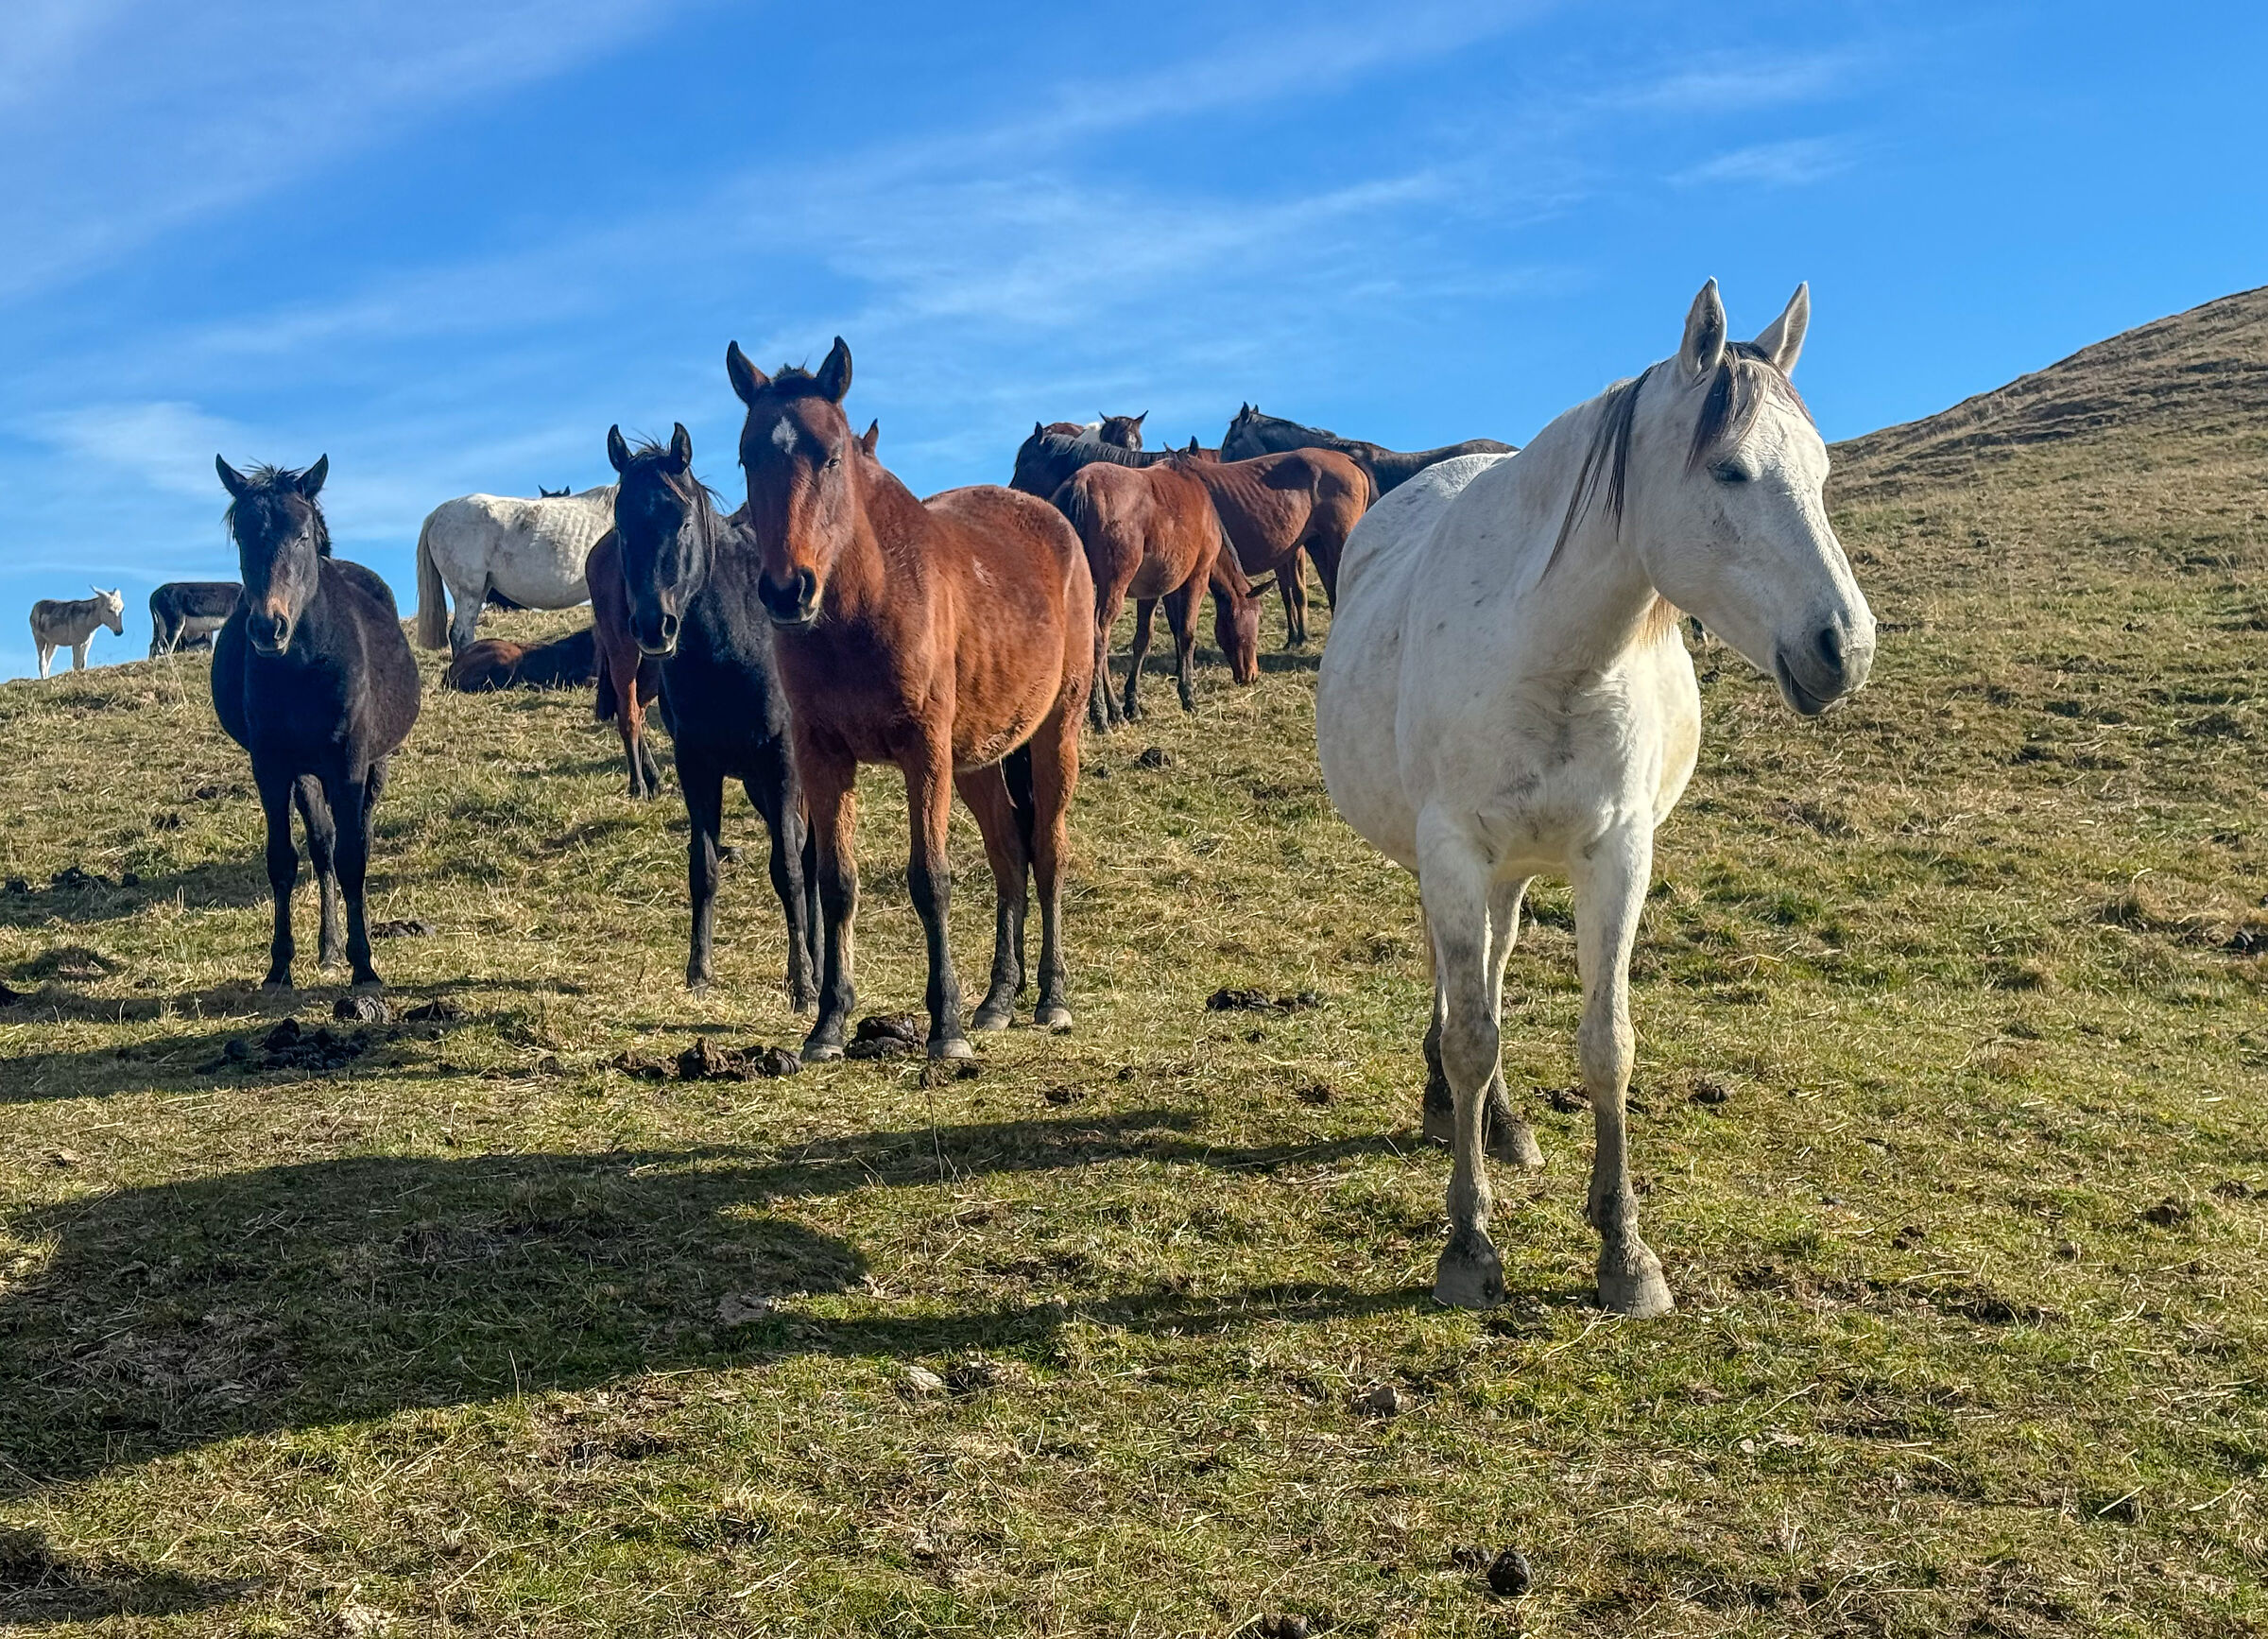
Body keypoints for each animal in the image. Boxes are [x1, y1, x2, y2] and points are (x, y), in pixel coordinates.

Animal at [210, 456, 421, 992]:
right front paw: (279, 966)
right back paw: (327, 947)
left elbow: (353, 859)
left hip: (373, 764)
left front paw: (365, 966)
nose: (268, 627)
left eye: (302, 534)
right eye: (243, 536)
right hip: (305, 771)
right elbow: (284, 860)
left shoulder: (348, 762)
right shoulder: (270, 765)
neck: (304, 665)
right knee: (322, 844)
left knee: (356, 836)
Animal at [605, 424, 819, 1002]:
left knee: (811, 856)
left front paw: (803, 981)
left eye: (680, 520)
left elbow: (787, 868)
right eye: (622, 525)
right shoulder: (696, 763)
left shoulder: (781, 759)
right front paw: (699, 969)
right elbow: (703, 866)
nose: (653, 626)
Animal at [728, 337, 1092, 1061]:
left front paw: (944, 1027)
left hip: (1053, 733)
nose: (787, 590)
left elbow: (931, 880)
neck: (863, 603)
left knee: (1048, 852)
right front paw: (828, 1024)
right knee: (1009, 855)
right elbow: (836, 883)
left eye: (830, 455)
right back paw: (998, 1000)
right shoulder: (823, 757)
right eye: (748, 457)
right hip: (977, 759)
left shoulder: (924, 753)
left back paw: (1050, 997)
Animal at [1053, 459, 1261, 729]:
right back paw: (1101, 714)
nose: (1252, 675)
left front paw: (1131, 704)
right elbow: (1186, 634)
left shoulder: (1151, 592)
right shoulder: (1197, 577)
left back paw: (1112, 711)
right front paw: (1188, 695)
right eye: (1255, 624)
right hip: (1114, 586)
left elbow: (1143, 640)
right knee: (1099, 638)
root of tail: (1082, 484)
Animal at [1315, 281, 1876, 1318]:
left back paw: (1498, 1124)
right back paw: (1452, 1109)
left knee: (1490, 966)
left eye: (1819, 474)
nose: (1843, 649)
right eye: (1730, 470)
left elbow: (1606, 1045)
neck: (1550, 655)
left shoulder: (1615, 856)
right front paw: (1468, 1244)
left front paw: (1626, 1251)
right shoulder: (1453, 851)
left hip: (1513, 873)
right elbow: (1471, 1034)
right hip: (1458, 864)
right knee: (1462, 983)